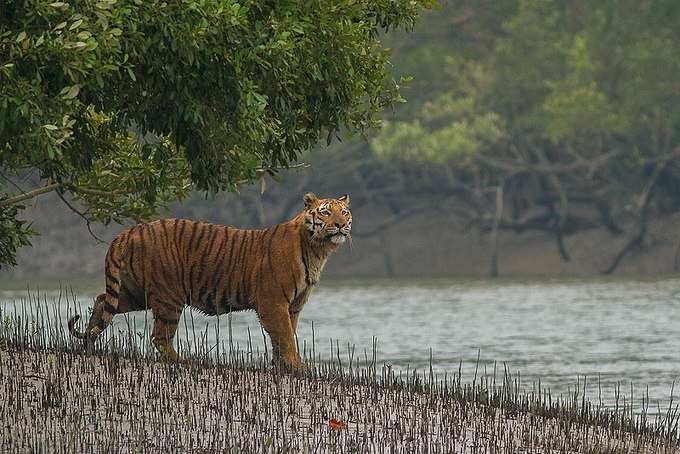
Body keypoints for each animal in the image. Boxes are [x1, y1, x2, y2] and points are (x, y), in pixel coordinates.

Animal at [69, 192, 354, 372]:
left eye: (344, 212)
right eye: (326, 213)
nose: (341, 225)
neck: (318, 249)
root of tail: (129, 231)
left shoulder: (293, 305)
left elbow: (284, 335)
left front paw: (282, 365)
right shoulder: (273, 302)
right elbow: (285, 335)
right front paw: (297, 365)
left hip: (134, 292)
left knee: (102, 300)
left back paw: (89, 344)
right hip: (169, 296)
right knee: (159, 336)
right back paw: (184, 361)